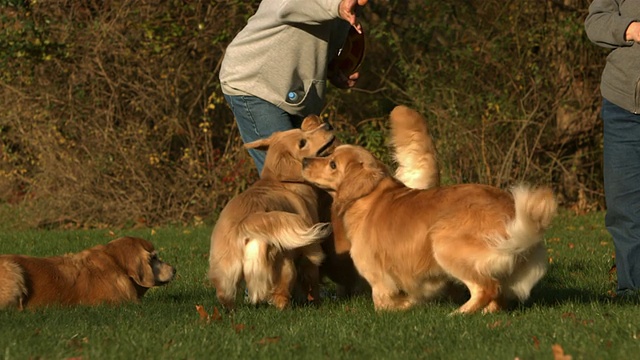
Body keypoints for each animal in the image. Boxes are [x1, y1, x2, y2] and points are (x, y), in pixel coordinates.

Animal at [209, 116, 338, 310]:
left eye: (302, 130)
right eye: (302, 142)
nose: (328, 125)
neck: (281, 181)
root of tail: (246, 224)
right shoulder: (310, 251)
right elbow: (312, 280)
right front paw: (317, 302)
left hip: (225, 276)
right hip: (286, 263)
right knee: (280, 296)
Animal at [302, 145, 556, 314]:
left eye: (333, 164)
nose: (304, 160)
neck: (369, 197)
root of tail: (511, 213)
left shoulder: (379, 278)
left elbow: (383, 303)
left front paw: (403, 306)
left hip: (443, 243)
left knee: (486, 288)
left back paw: (459, 314)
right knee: (496, 297)